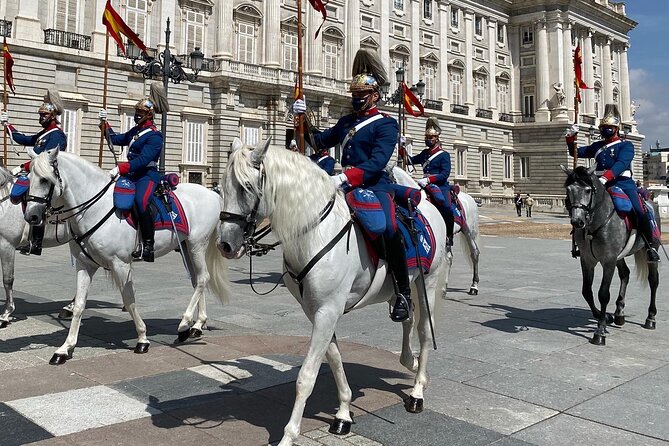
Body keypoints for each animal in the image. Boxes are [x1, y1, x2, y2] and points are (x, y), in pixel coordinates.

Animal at [22, 148, 230, 364]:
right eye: (29, 178)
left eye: (45, 179)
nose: (31, 216)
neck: (94, 208)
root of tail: (212, 194)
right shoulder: (84, 265)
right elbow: (79, 305)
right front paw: (65, 348)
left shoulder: (120, 264)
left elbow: (129, 301)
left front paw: (142, 339)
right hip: (187, 247)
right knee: (198, 280)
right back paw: (197, 325)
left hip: (197, 245)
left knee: (203, 279)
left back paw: (184, 324)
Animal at [218, 139, 448, 446]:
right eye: (222, 186)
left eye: (245, 187)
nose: (225, 245)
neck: (315, 232)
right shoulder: (317, 311)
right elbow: (335, 360)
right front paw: (343, 414)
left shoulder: (327, 311)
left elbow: (306, 376)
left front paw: (289, 435)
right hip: (403, 286)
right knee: (407, 316)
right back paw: (408, 361)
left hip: (428, 283)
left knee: (423, 331)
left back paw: (417, 390)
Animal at [392, 167, 480, 296]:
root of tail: (470, 198)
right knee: (449, 257)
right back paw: (444, 287)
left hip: (469, 232)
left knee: (474, 253)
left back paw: (474, 286)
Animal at [564, 164, 656, 344]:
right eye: (568, 189)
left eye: (587, 190)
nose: (577, 222)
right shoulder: (587, 260)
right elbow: (586, 290)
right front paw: (605, 316)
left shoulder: (608, 260)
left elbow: (603, 294)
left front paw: (599, 331)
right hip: (619, 257)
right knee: (625, 274)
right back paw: (619, 313)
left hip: (649, 249)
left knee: (653, 281)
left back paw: (650, 318)